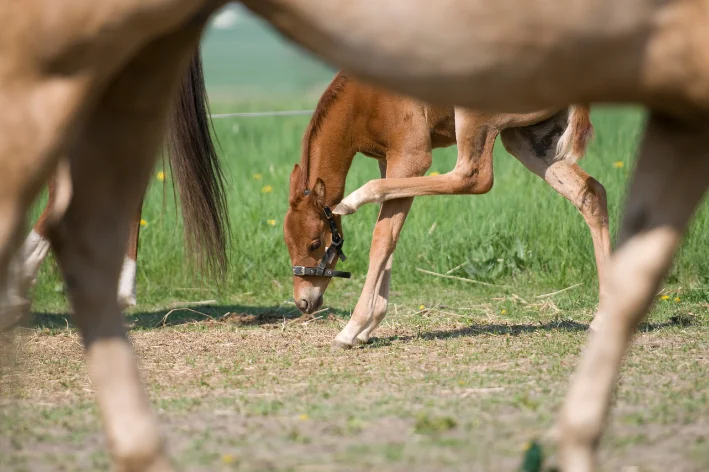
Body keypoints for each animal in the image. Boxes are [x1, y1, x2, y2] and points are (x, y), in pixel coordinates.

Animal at [282, 72, 608, 348]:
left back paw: (354, 198)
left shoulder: (411, 157)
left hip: (478, 116)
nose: (303, 302)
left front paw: (352, 329)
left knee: (475, 177)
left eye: (314, 243)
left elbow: (382, 237)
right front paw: (368, 327)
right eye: (288, 243)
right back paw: (602, 318)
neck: (362, 101)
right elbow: (390, 233)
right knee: (591, 193)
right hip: (529, 139)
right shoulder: (388, 161)